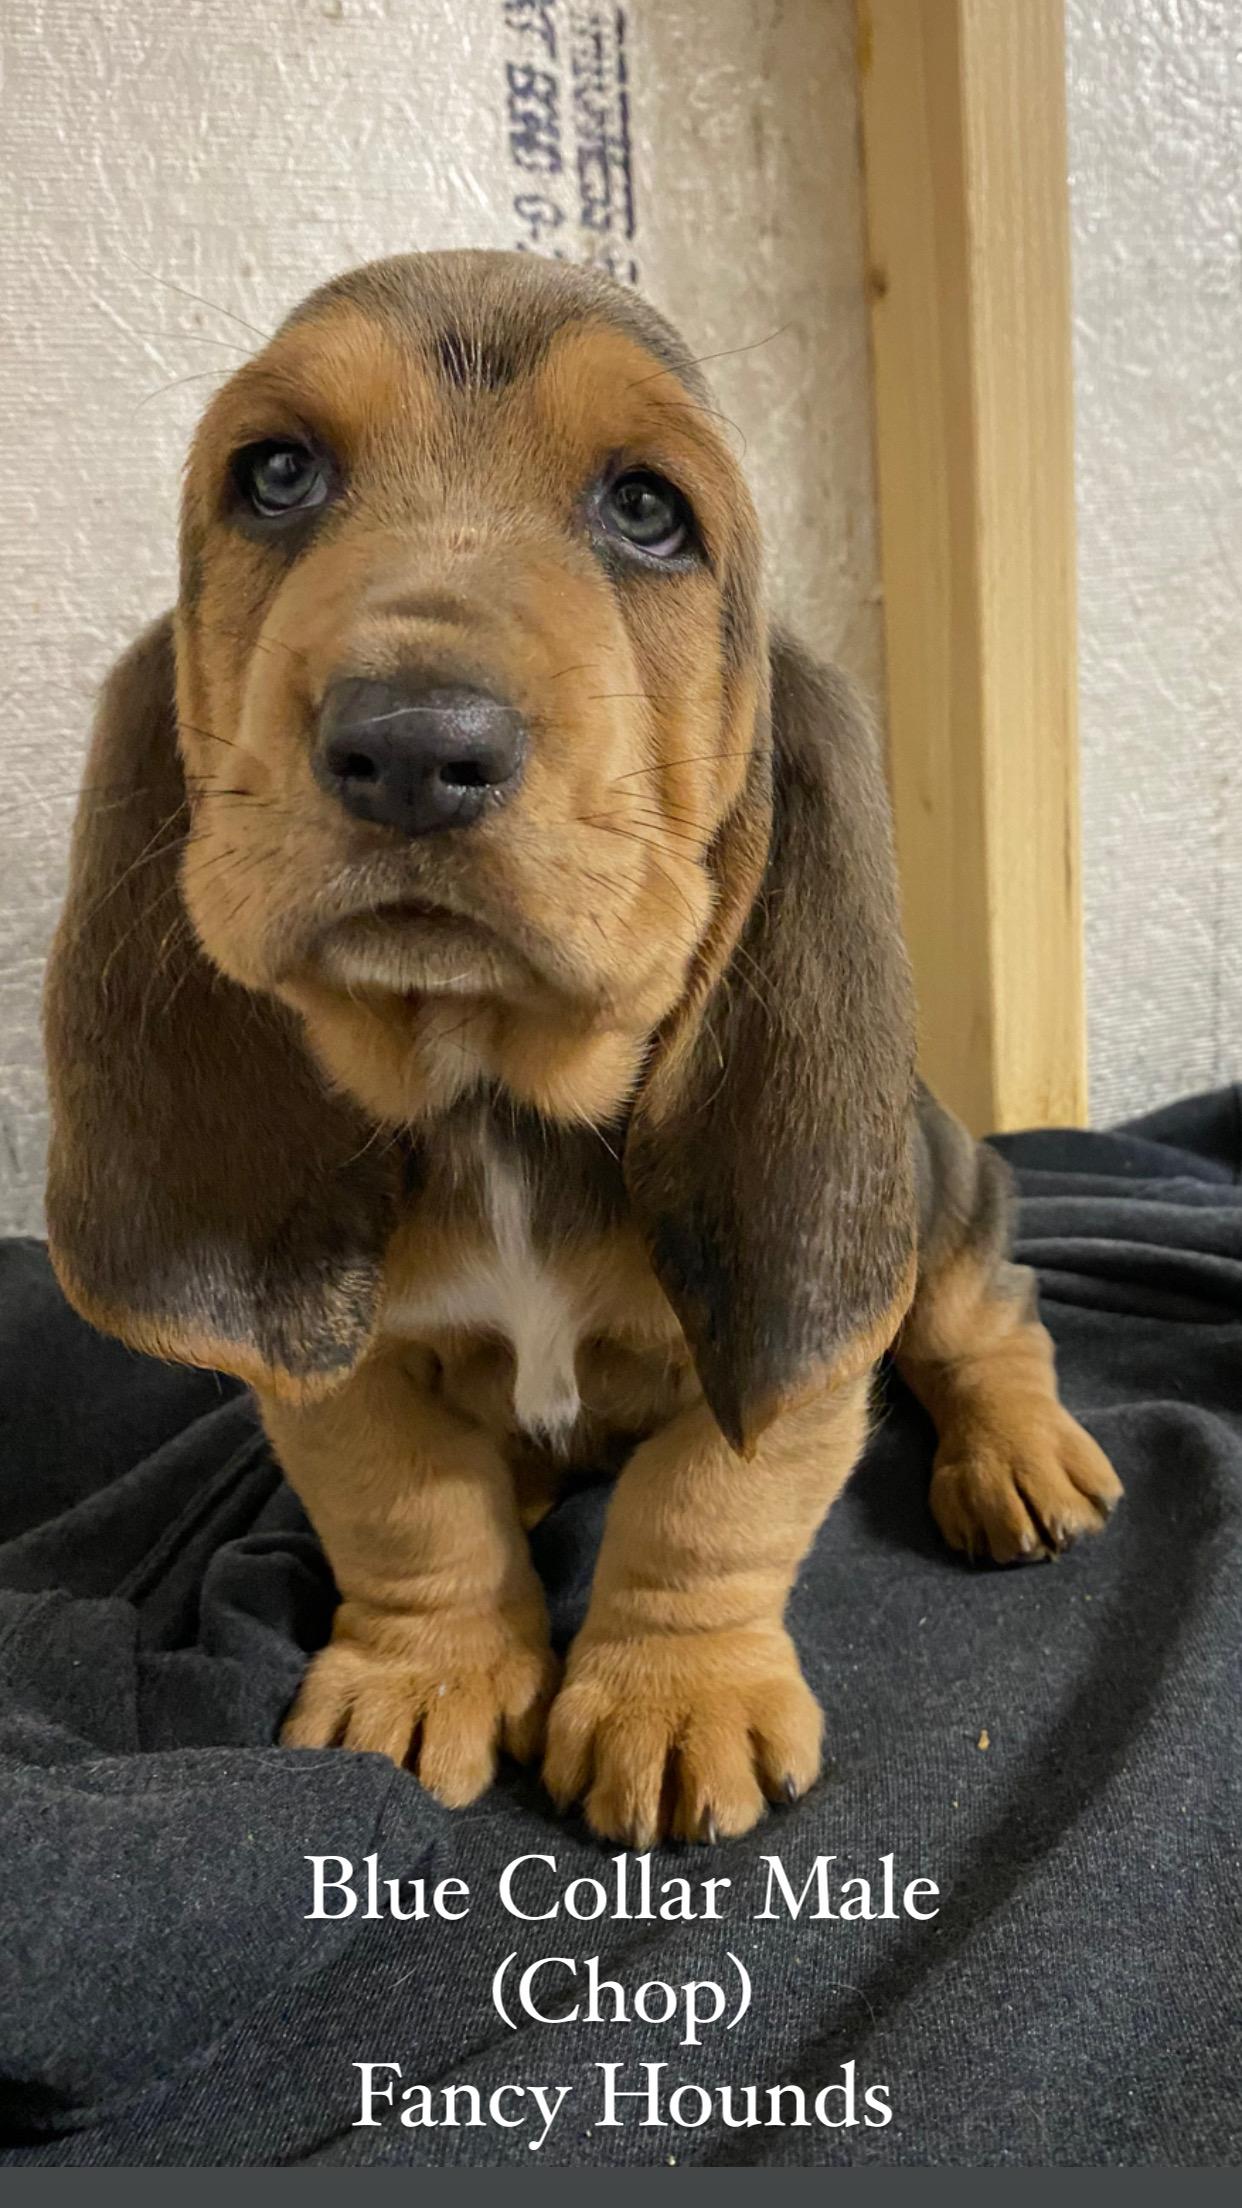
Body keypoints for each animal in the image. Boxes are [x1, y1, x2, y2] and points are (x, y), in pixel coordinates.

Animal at [43, 250, 1122, 1845]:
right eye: (278, 475)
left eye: (645, 509)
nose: (413, 745)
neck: (493, 1091)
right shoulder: (337, 1373)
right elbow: (408, 1501)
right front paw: (423, 1673)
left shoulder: (773, 1345)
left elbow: (704, 1506)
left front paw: (673, 1699)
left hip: (938, 1197)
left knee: (989, 1315)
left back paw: (1022, 1458)